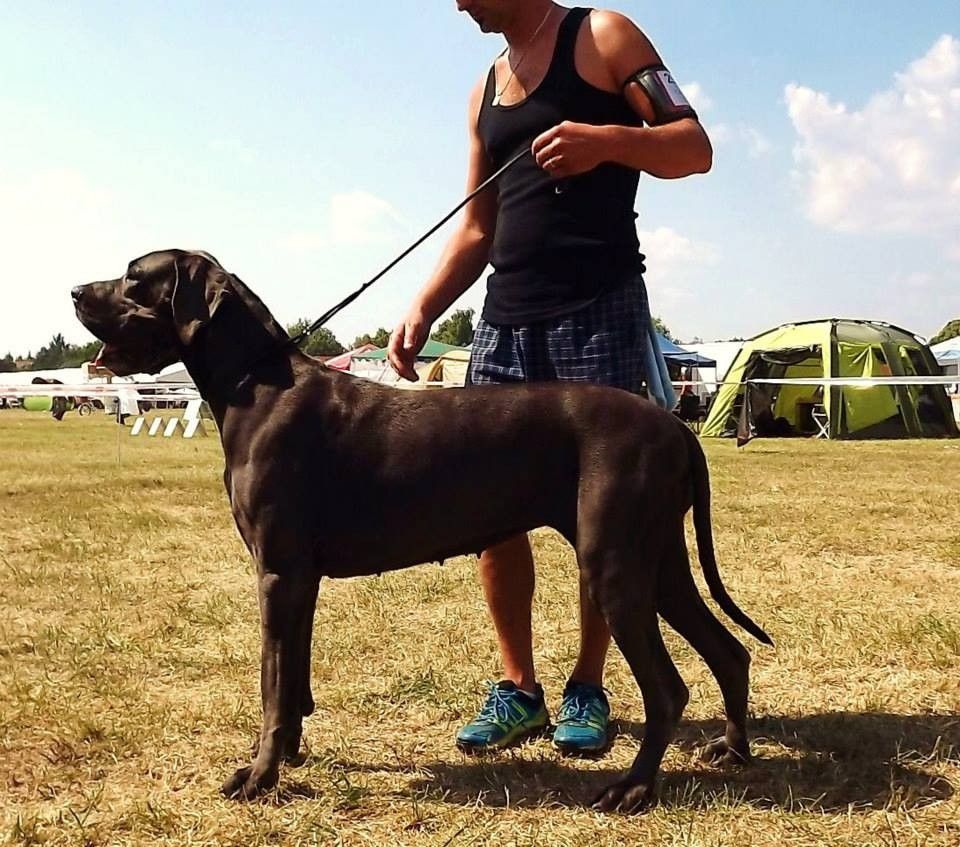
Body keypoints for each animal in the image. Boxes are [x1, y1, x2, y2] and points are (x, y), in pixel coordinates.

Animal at [73, 249, 771, 813]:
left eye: (134, 277)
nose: (75, 290)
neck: (257, 387)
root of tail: (674, 423)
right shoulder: (299, 579)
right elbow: (292, 679)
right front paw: (289, 753)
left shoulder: (275, 573)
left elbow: (271, 684)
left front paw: (260, 774)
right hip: (658, 563)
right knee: (729, 652)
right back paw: (733, 750)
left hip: (615, 567)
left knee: (668, 688)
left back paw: (634, 786)